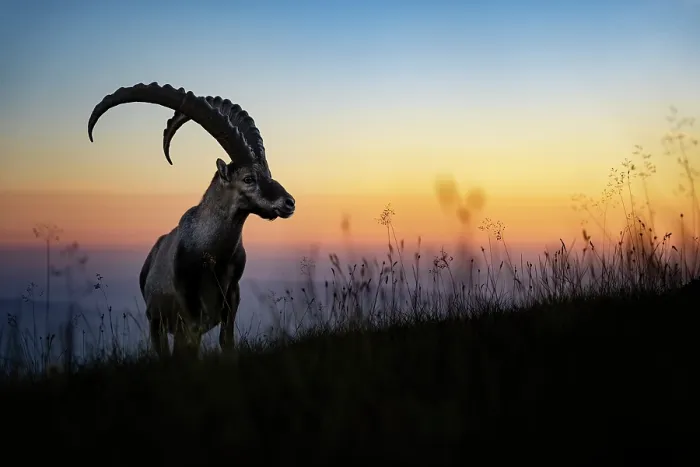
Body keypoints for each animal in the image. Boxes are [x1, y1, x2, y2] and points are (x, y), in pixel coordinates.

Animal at [87, 82, 296, 359]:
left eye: (268, 173)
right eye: (248, 178)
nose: (289, 203)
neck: (212, 252)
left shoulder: (232, 296)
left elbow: (227, 341)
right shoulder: (188, 306)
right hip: (156, 321)